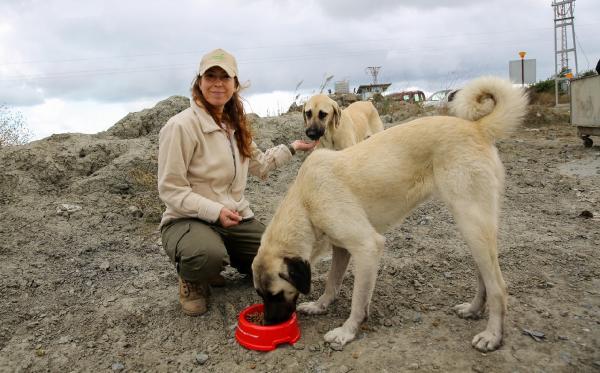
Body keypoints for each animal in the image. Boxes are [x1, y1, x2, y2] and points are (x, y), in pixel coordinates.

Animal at [251, 76, 528, 352]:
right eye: (260, 295)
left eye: (276, 294)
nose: (268, 323)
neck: (306, 201)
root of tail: (478, 127)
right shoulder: (341, 248)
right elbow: (332, 281)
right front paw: (320, 305)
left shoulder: (367, 247)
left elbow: (358, 301)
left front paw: (347, 331)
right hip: (473, 231)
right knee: (485, 278)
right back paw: (473, 309)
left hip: (473, 225)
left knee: (498, 288)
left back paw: (492, 335)